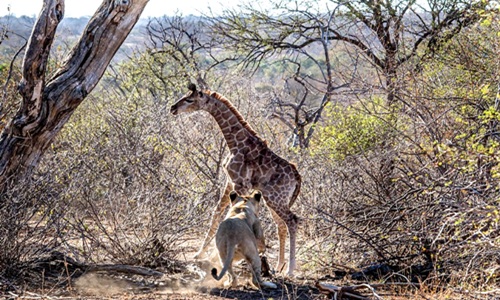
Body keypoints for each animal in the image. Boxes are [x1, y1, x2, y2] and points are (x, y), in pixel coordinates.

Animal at [170, 83, 300, 276]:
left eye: (190, 99)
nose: (173, 108)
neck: (235, 143)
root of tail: (297, 177)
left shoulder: (240, 183)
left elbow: (233, 214)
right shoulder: (229, 181)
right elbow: (216, 213)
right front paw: (199, 253)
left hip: (276, 199)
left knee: (292, 221)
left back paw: (290, 269)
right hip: (274, 200)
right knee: (281, 225)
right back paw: (278, 266)